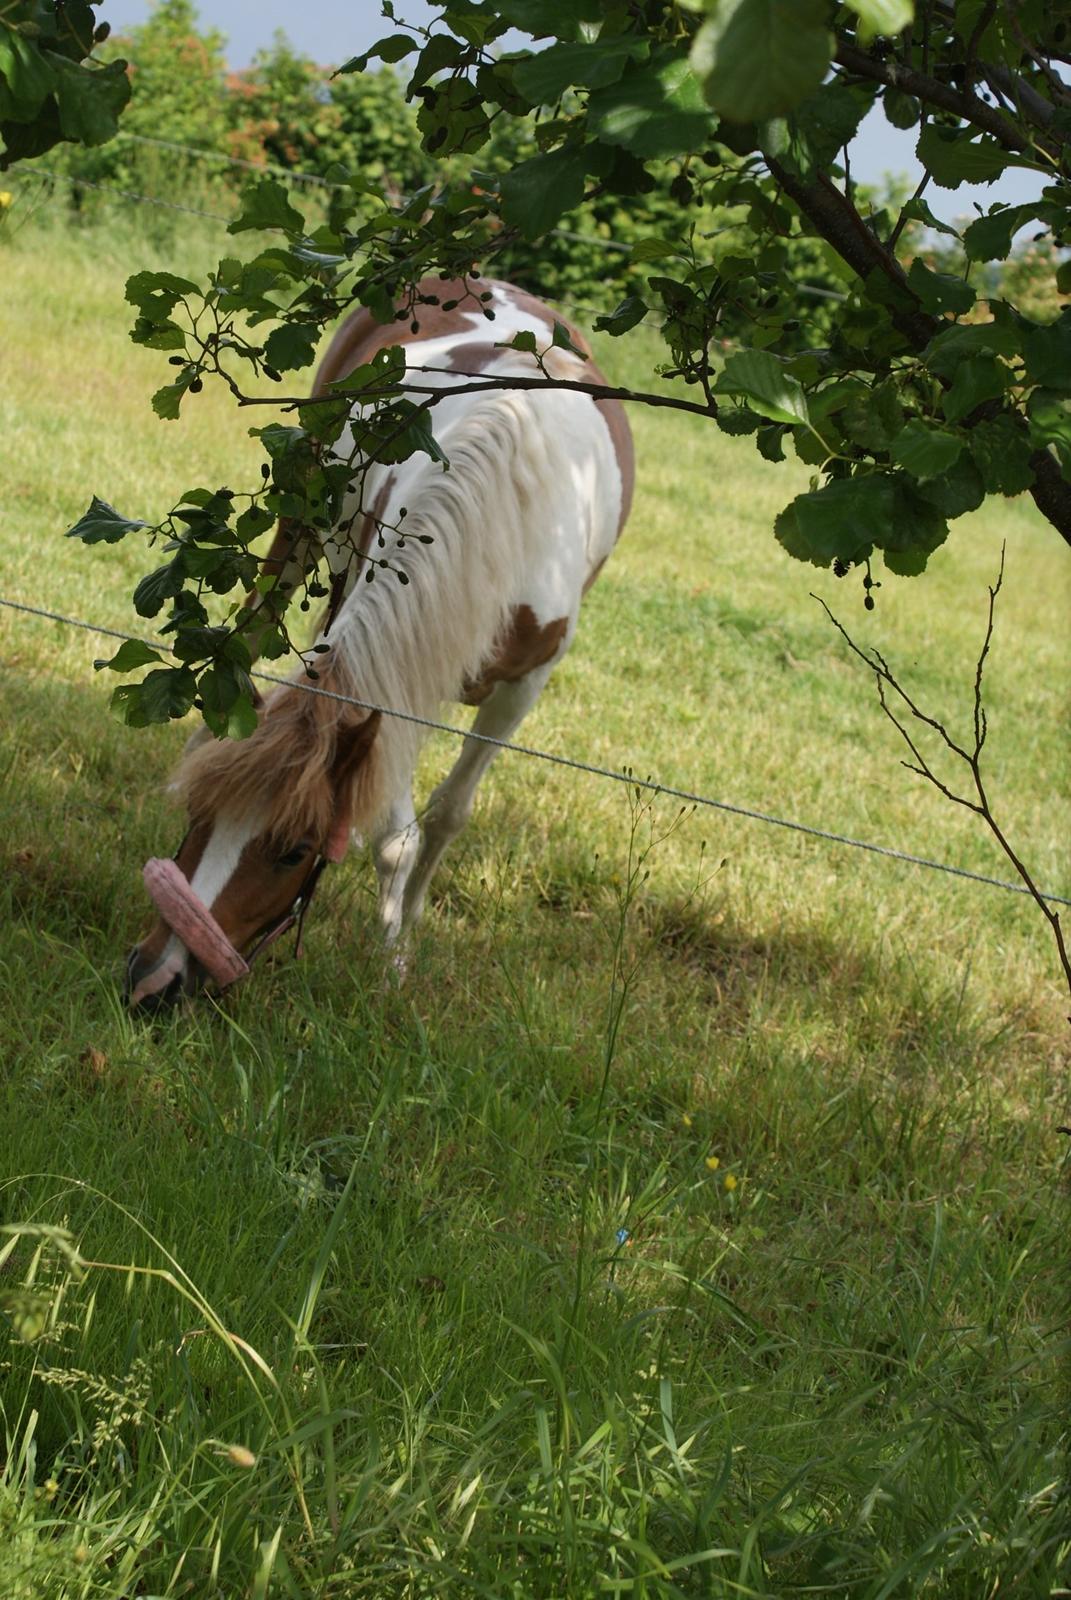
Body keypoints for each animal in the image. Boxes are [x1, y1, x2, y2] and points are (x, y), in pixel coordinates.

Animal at [124, 273, 630, 998]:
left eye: (293, 853)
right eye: (198, 815)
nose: (152, 978)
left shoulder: (522, 686)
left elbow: (445, 816)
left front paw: (397, 952)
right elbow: (395, 834)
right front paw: (391, 956)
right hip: (300, 522)